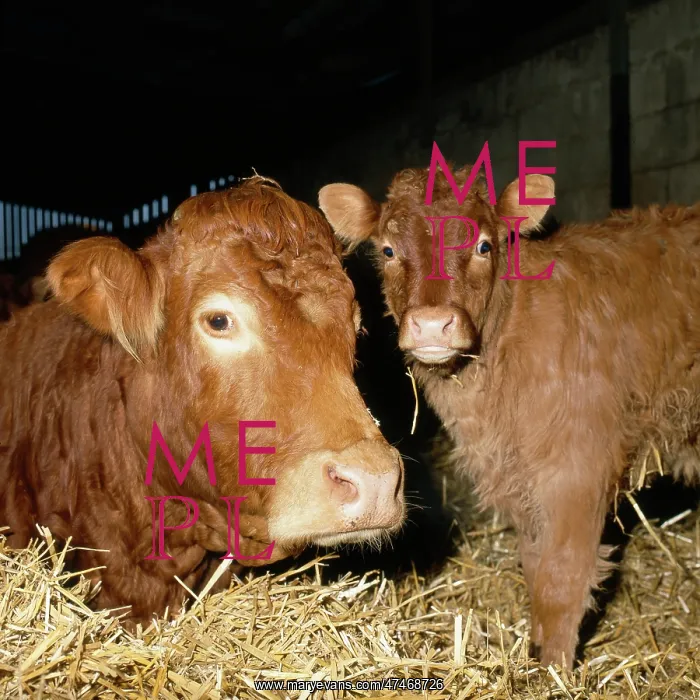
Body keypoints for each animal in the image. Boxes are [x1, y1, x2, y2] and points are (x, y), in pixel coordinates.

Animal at [318, 166, 700, 669]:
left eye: (484, 246)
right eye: (388, 250)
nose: (432, 324)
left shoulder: (578, 470)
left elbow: (560, 579)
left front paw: (553, 672)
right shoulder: (520, 477)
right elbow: (535, 566)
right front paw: (536, 655)